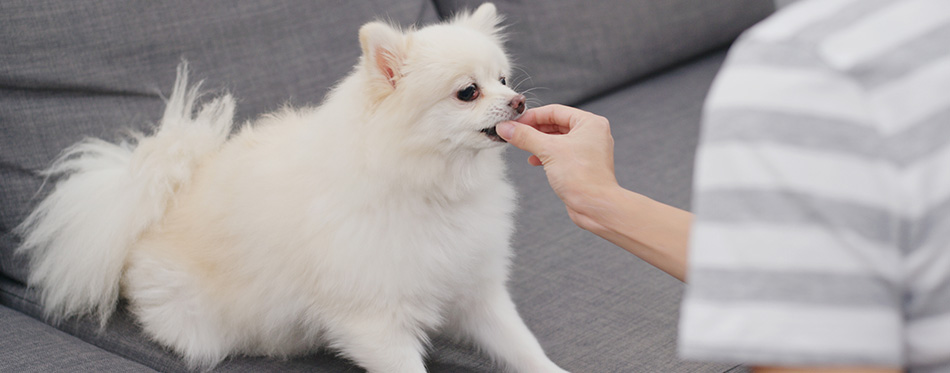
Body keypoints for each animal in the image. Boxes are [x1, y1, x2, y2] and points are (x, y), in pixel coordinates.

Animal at [14, 3, 568, 372]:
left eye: (503, 79)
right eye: (468, 92)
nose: (519, 101)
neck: (431, 184)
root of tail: (157, 205)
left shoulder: (476, 290)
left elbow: (522, 346)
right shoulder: (375, 319)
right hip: (200, 326)